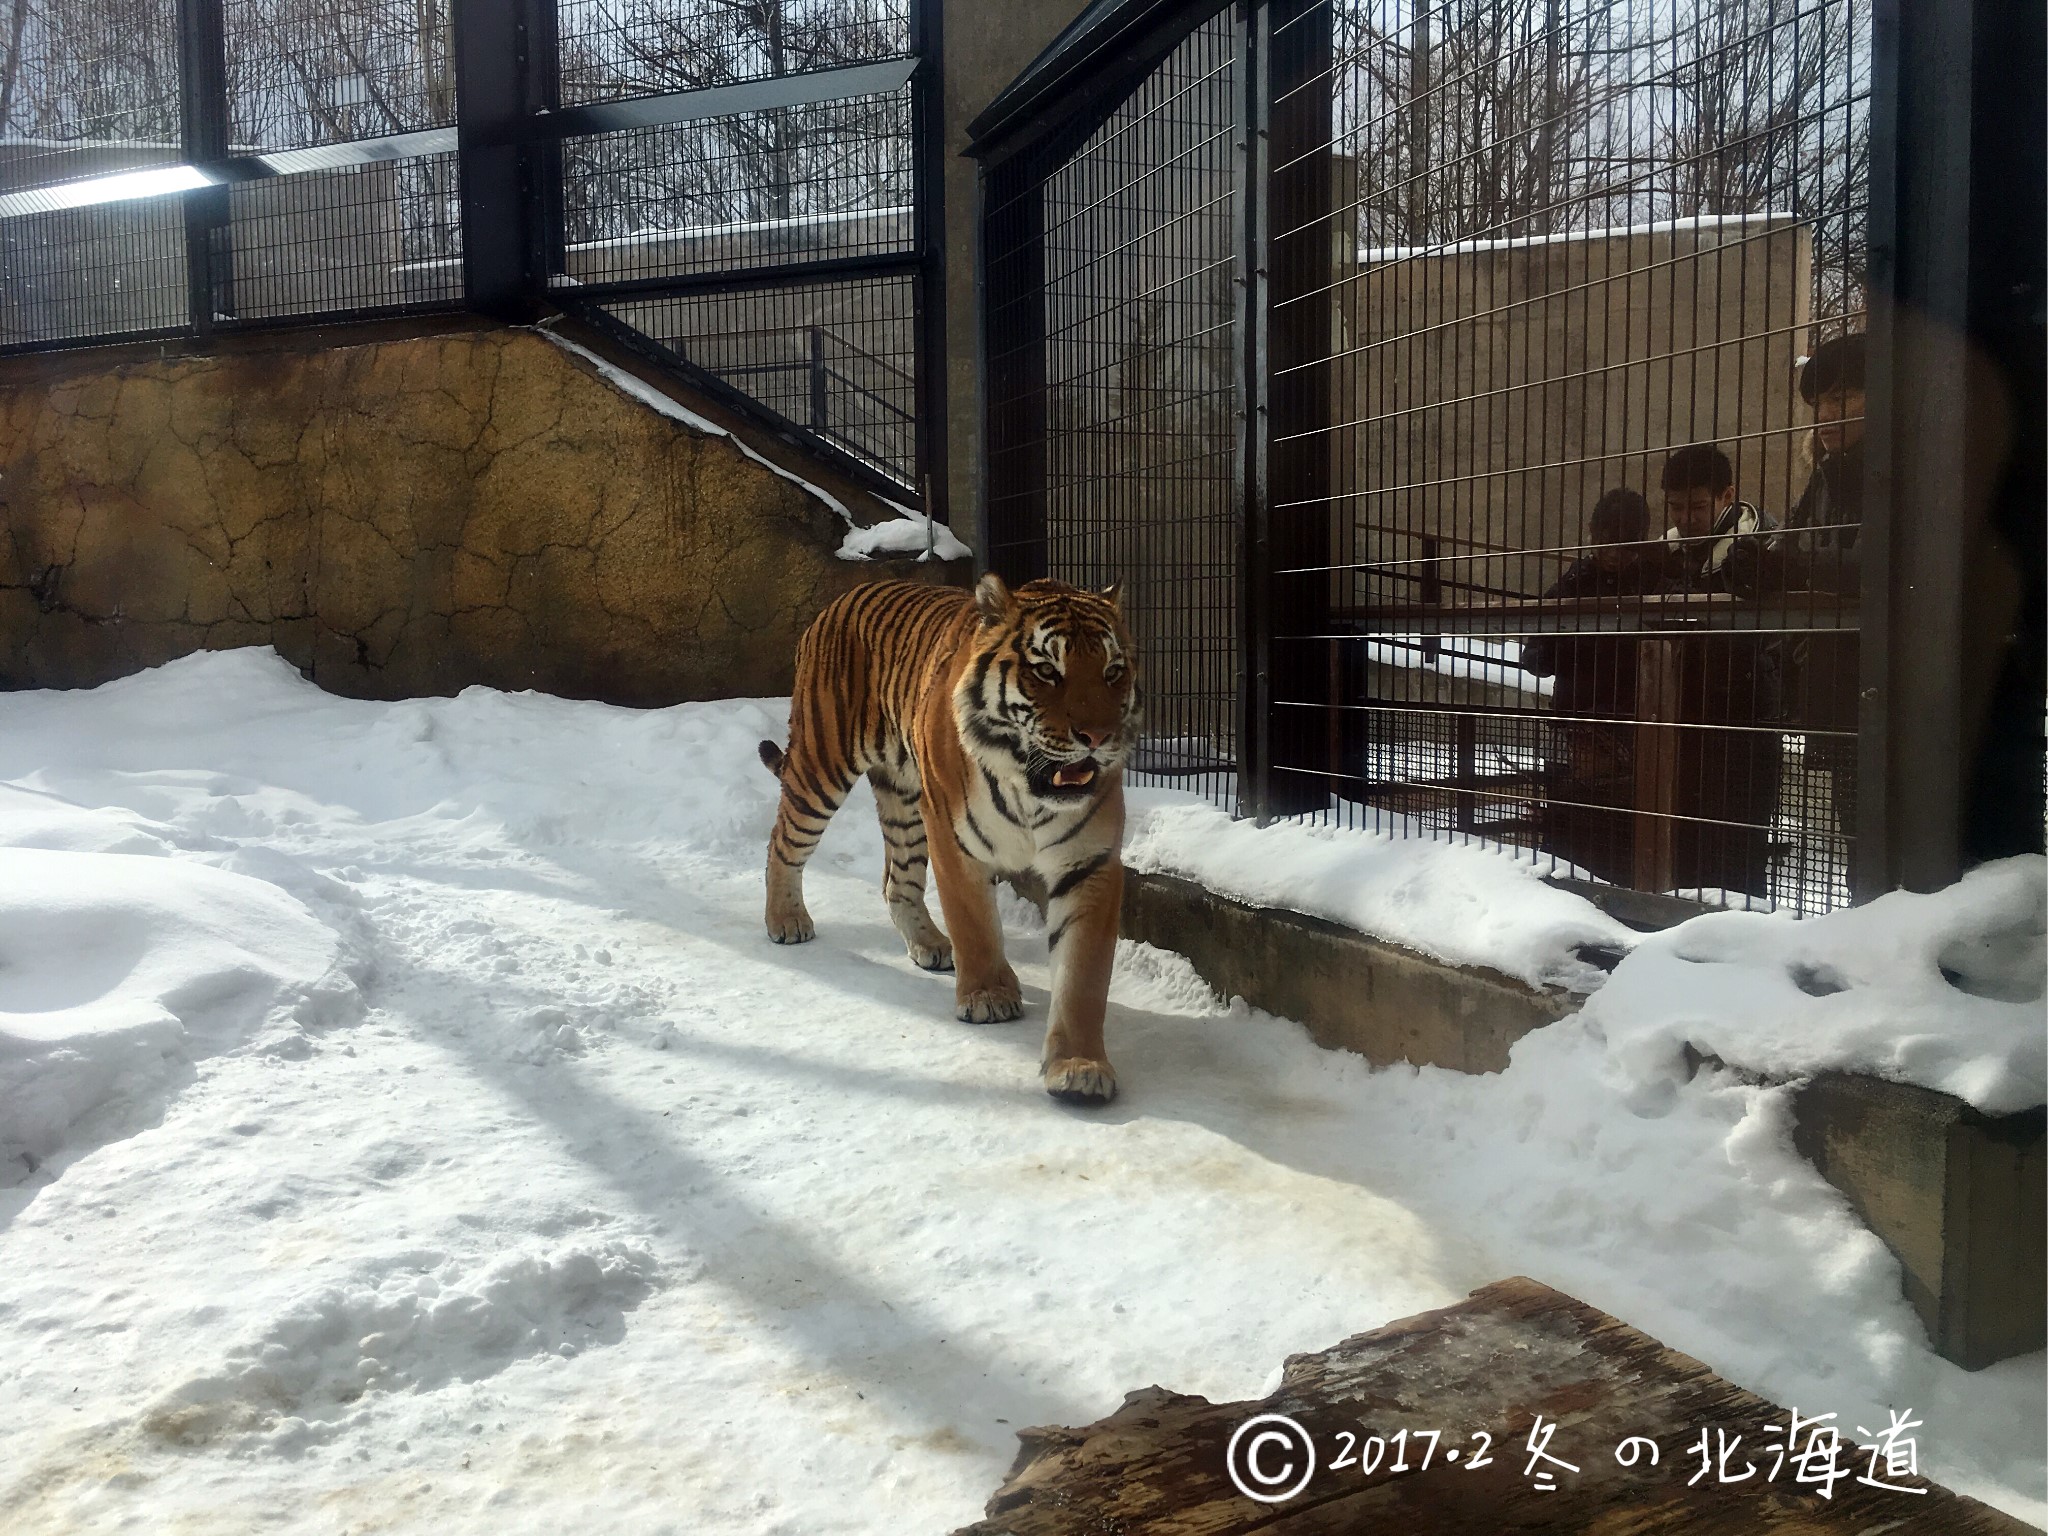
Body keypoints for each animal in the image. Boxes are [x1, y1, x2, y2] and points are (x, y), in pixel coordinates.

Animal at [757, 577, 1138, 1105]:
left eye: (1112, 671)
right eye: (1046, 670)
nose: (1098, 737)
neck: (1030, 789)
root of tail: (846, 595)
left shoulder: (1089, 862)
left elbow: (1082, 975)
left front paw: (1080, 1067)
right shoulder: (954, 840)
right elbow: (974, 923)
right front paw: (988, 997)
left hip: (905, 801)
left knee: (896, 883)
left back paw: (930, 945)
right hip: (823, 768)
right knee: (782, 841)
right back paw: (787, 920)